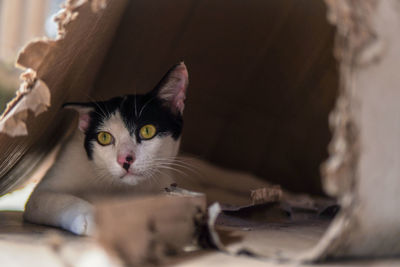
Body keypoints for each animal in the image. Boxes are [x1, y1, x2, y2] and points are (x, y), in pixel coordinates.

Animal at [23, 62, 189, 237]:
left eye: (147, 131)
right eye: (104, 137)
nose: (124, 159)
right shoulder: (46, 188)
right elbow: (53, 198)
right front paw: (91, 217)